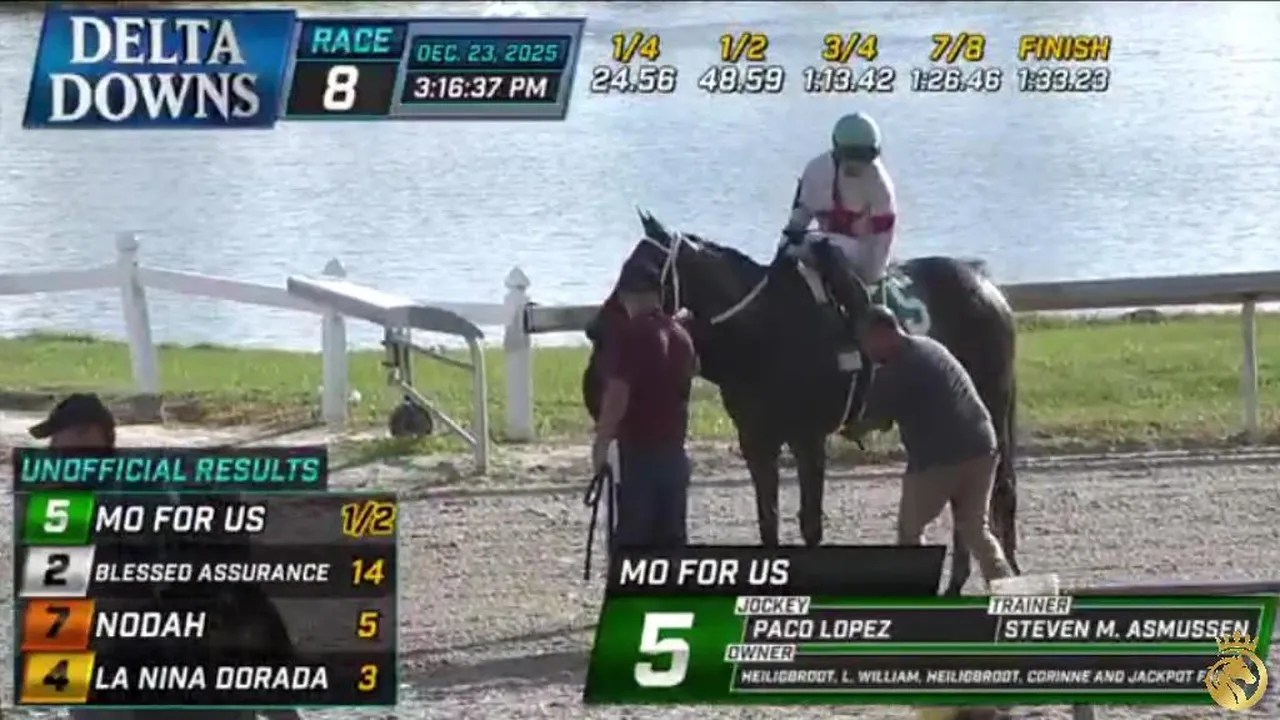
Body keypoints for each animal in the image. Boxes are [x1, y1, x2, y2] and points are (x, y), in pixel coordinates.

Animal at [582, 211, 1020, 595]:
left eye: (642, 268)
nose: (595, 327)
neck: (766, 327)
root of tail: (986, 283)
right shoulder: (757, 440)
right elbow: (768, 519)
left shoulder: (807, 438)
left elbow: (810, 523)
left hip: (991, 404)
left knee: (995, 489)